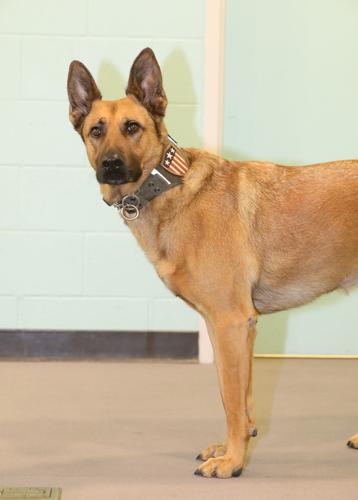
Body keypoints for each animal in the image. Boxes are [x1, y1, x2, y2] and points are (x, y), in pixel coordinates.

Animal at [67, 47, 358, 480]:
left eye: (133, 127)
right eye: (96, 131)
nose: (112, 165)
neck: (168, 186)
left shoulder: (230, 322)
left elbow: (232, 402)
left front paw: (232, 462)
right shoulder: (236, 328)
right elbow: (237, 396)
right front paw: (231, 447)